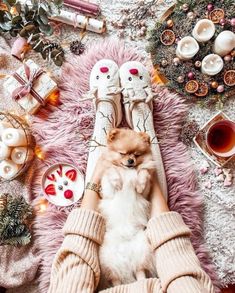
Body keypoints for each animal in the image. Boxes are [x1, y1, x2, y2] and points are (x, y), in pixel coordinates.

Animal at [98, 127, 157, 286]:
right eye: (122, 153)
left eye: (136, 155)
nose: (131, 160)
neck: (127, 170)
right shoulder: (107, 189)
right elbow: (112, 170)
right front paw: (118, 182)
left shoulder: (146, 192)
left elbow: (143, 172)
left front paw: (139, 184)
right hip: (109, 258)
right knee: (115, 278)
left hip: (141, 248)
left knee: (139, 269)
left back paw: (141, 282)